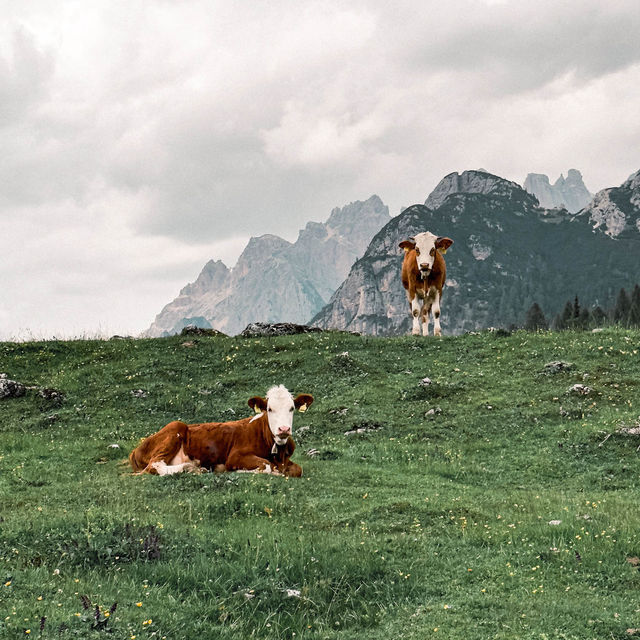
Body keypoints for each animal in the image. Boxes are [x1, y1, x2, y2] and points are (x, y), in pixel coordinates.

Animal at [127, 384, 312, 476]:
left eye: (292, 408)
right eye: (269, 409)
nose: (284, 429)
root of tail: (136, 449)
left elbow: (297, 470)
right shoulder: (235, 456)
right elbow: (266, 466)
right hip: (175, 428)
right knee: (155, 465)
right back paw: (190, 468)